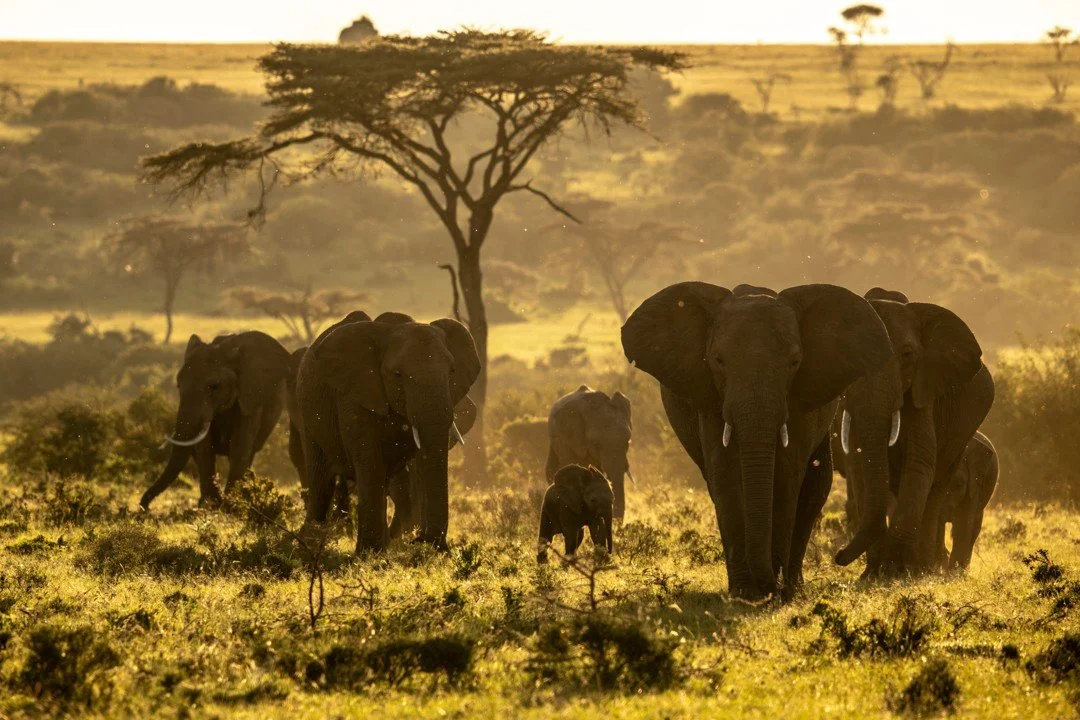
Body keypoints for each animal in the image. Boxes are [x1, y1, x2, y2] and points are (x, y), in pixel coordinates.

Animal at [140, 331, 291, 510]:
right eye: (178, 385)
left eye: (213, 386)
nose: (145, 508)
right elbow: (205, 446)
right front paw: (210, 504)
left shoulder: (250, 399)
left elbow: (240, 444)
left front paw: (232, 505)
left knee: (250, 451)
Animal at [295, 312, 480, 552]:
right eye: (397, 374)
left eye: (452, 371)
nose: (420, 540)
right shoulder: (356, 393)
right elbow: (370, 460)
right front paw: (370, 553)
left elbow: (421, 462)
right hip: (308, 413)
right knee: (321, 481)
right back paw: (309, 544)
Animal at [622, 282, 893, 600]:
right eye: (718, 361)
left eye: (794, 362)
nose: (838, 558)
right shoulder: (711, 396)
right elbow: (725, 475)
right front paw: (745, 593)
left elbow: (786, 475)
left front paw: (773, 594)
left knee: (815, 486)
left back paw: (793, 586)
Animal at [834, 287, 994, 575]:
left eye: (907, 354)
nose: (838, 556)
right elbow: (859, 466)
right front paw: (873, 573)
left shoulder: (925, 389)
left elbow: (919, 460)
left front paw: (894, 570)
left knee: (937, 487)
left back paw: (923, 567)